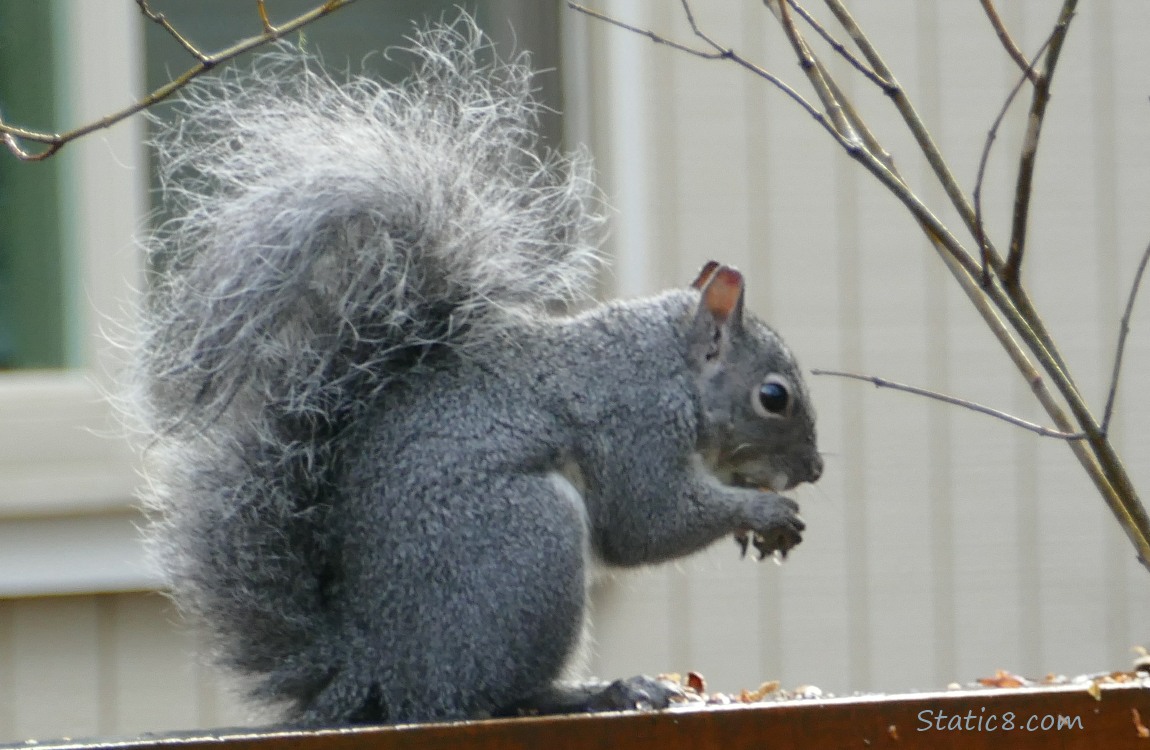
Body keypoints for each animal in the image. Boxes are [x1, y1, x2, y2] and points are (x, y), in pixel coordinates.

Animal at [130, 16, 823, 726]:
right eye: (774, 396)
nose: (815, 469)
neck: (669, 370)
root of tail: (377, 670)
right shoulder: (637, 428)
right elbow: (647, 523)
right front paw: (765, 510)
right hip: (526, 545)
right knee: (492, 695)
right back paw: (601, 690)